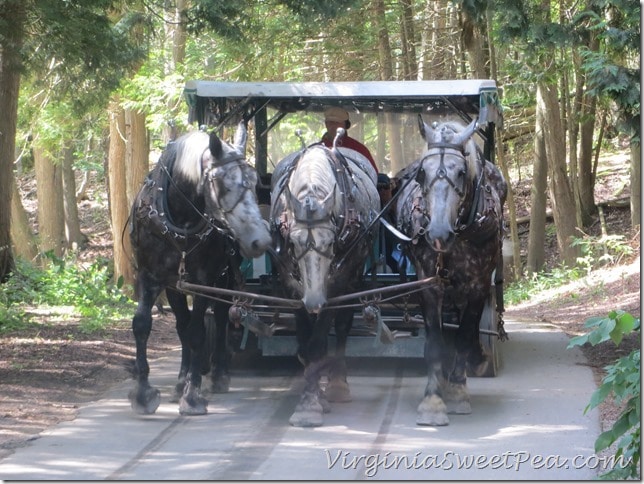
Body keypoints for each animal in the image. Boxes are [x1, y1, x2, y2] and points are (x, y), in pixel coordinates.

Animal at [128, 122, 272, 416]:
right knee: (182, 324)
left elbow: (198, 334)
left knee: (221, 317)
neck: (178, 220)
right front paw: (144, 393)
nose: (261, 240)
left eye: (254, 182)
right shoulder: (150, 276)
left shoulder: (204, 280)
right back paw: (180, 380)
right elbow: (143, 325)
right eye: (223, 184)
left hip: (225, 277)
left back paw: (218, 375)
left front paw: (192, 396)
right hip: (176, 284)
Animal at [270, 134, 380, 426]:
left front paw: (310, 404)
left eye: (330, 242)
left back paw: (337, 385)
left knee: (342, 327)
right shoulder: (290, 282)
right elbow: (305, 335)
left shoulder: (338, 281)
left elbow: (320, 340)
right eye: (293, 242)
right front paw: (311, 396)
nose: (315, 302)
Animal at [394, 115, 506, 426]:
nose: (438, 233)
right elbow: (435, 339)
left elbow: (465, 335)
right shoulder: (428, 282)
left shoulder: (479, 285)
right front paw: (433, 400)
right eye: (422, 173)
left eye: (461, 172)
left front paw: (457, 389)